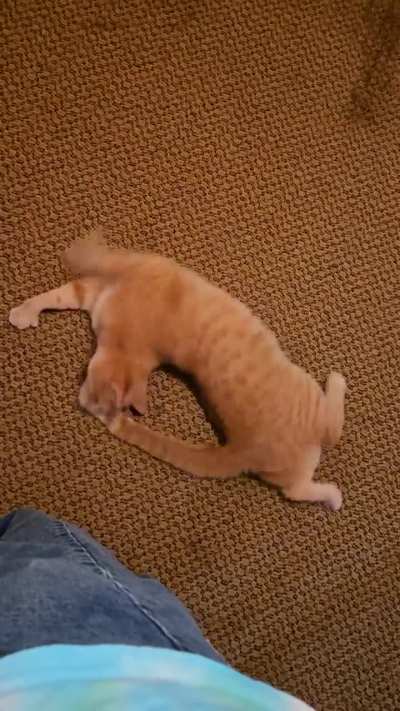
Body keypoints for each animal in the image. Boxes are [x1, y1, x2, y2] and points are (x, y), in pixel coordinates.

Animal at [9, 231, 347, 510]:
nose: (87, 407)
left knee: (314, 461)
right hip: (307, 405)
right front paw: (26, 311)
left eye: (98, 404)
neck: (131, 344)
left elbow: (76, 274)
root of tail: (240, 449)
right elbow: (61, 290)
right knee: (305, 475)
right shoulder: (103, 286)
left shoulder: (111, 279)